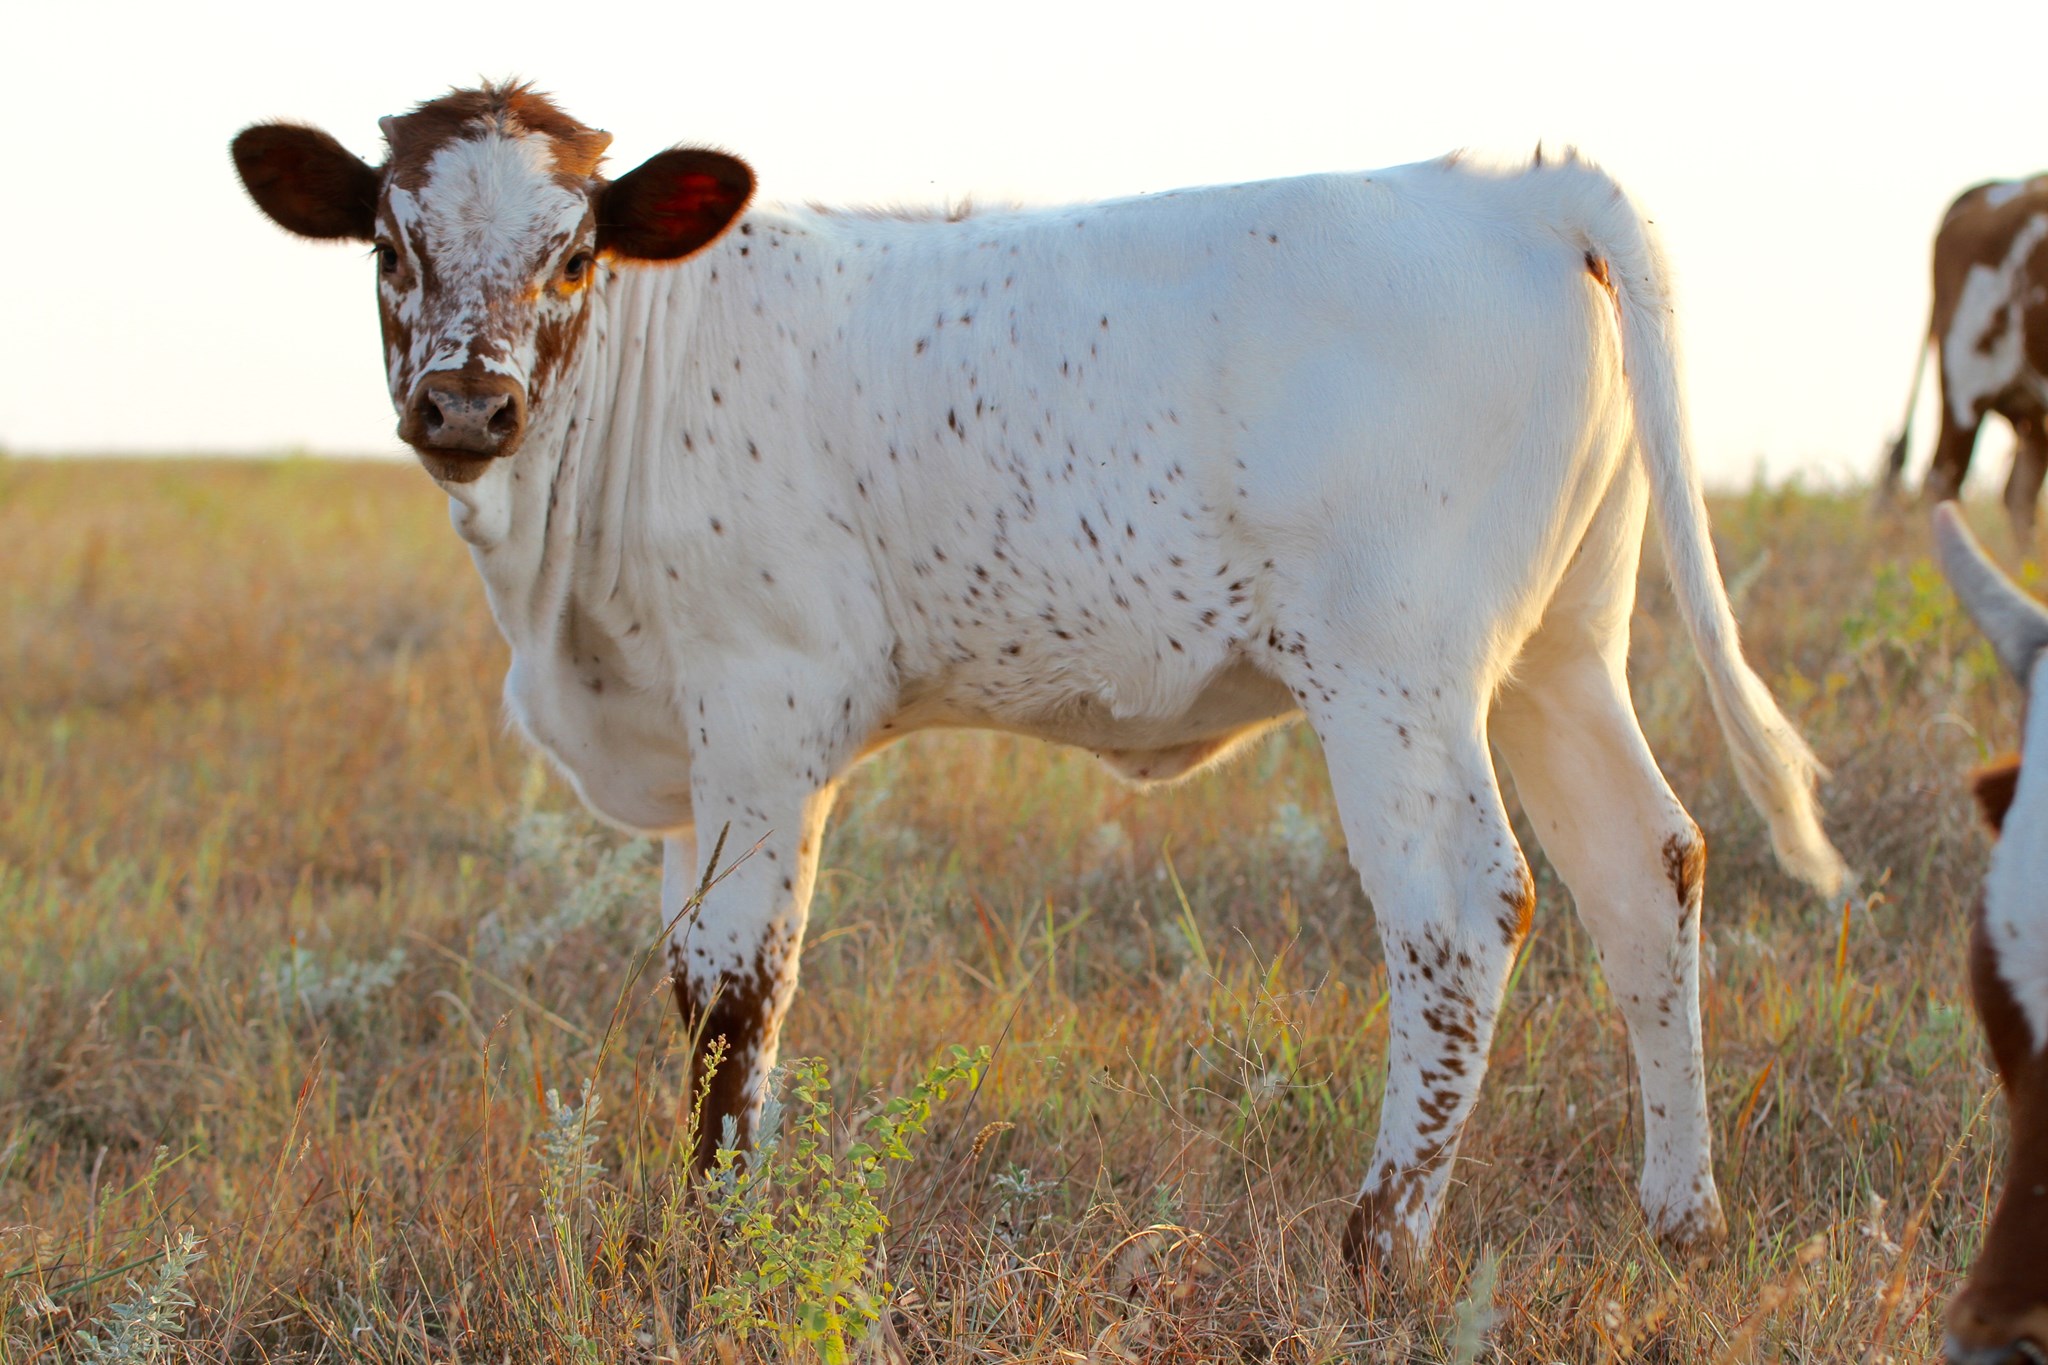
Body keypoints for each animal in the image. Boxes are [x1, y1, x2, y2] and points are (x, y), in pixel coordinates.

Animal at [231, 82, 1845, 1268]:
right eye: (388, 248)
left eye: (573, 254)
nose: (465, 404)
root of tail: (1510, 187)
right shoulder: (688, 742)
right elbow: (703, 976)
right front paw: (729, 1207)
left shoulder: (767, 705)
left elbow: (735, 980)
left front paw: (715, 1243)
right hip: (1560, 653)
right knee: (1645, 865)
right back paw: (1680, 1219)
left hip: (1397, 672)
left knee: (1457, 909)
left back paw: (1379, 1244)